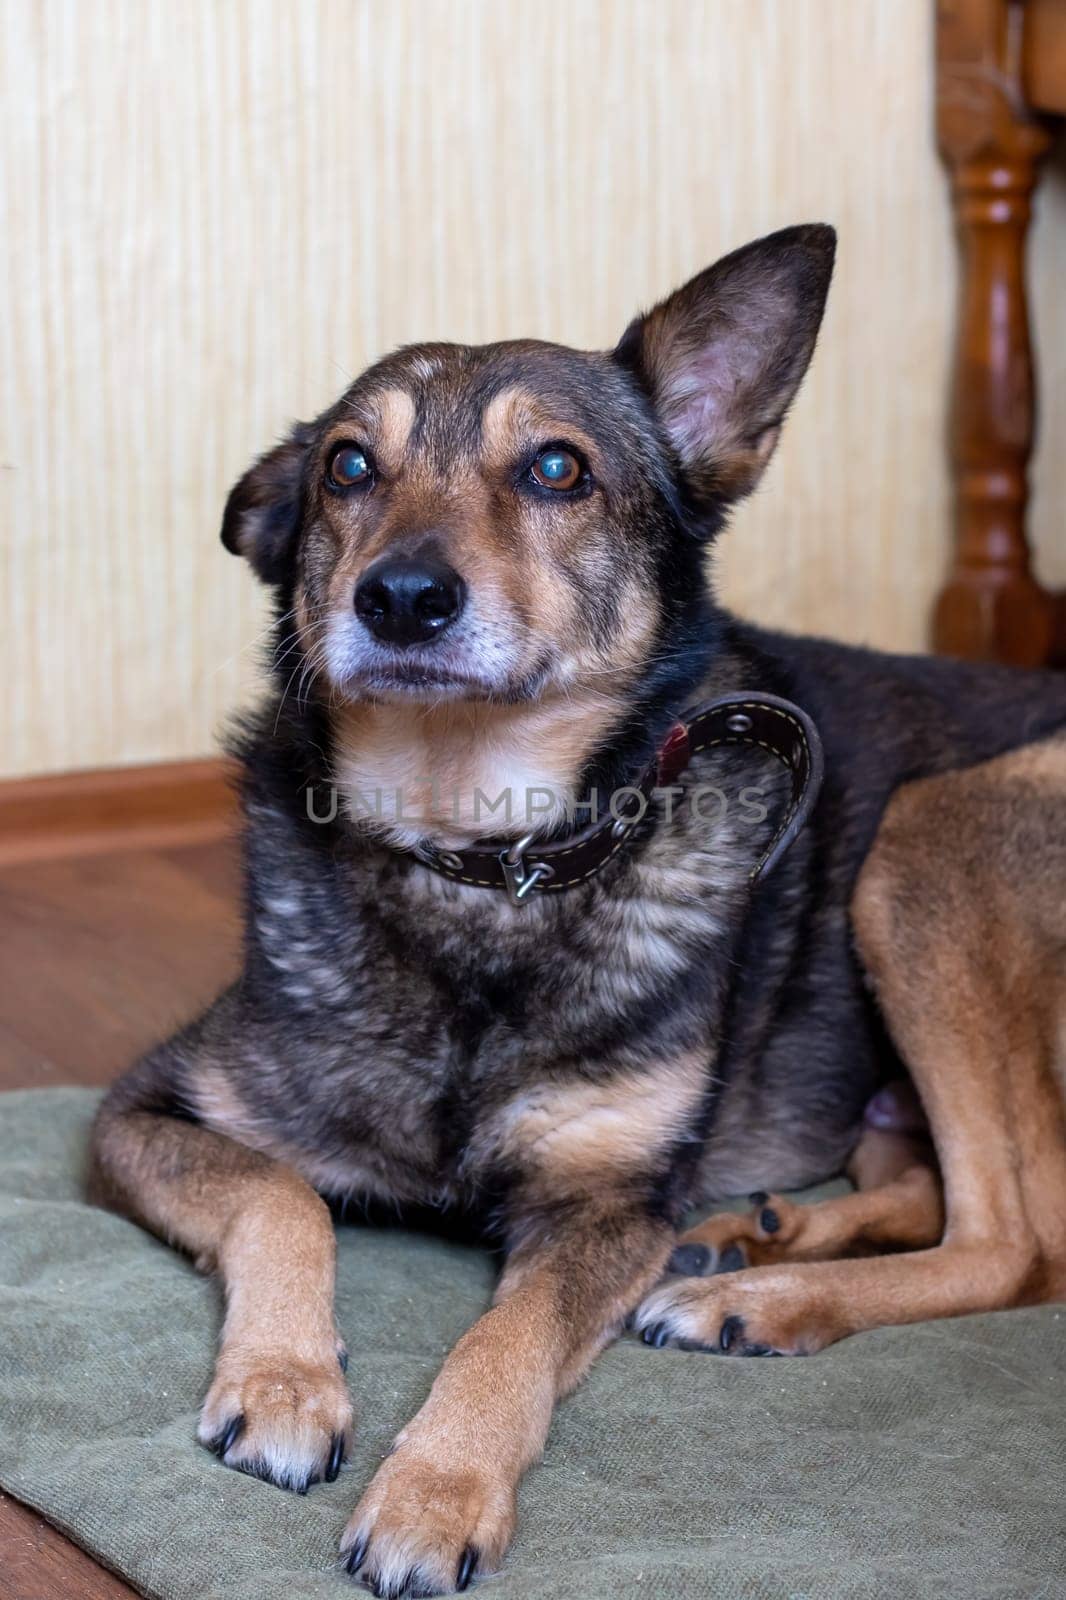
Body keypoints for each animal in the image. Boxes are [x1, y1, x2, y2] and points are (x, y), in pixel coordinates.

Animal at [91, 228, 1062, 1600]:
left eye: (558, 468)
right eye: (347, 466)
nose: (400, 596)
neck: (481, 858)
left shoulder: (602, 1206)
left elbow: (509, 1334)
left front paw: (434, 1494)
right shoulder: (148, 1110)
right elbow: (281, 1195)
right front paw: (283, 1383)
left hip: (926, 839)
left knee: (1019, 1242)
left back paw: (753, 1299)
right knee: (950, 1198)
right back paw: (753, 1239)